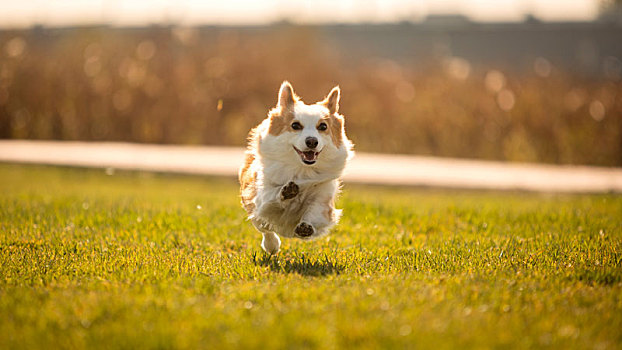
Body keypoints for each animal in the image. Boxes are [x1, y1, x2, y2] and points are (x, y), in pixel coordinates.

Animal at [240, 80, 356, 253]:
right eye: (295, 125)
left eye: (323, 127)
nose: (312, 141)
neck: (302, 170)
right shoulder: (260, 197)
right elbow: (271, 197)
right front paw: (286, 192)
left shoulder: (323, 198)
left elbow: (316, 211)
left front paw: (306, 227)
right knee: (265, 229)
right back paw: (272, 246)